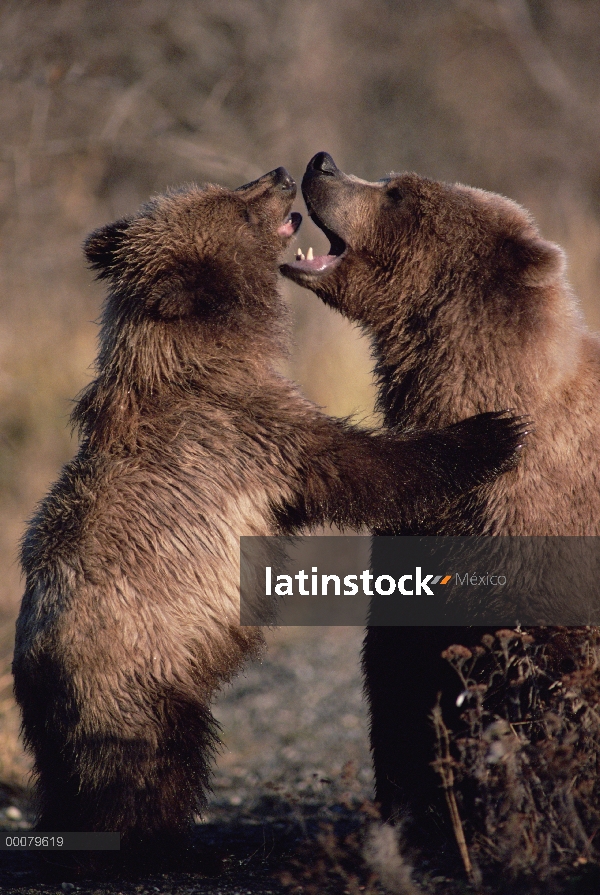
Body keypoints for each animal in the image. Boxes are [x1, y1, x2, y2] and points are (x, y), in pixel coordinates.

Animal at [11, 166, 524, 868]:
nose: (281, 175)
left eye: (226, 187)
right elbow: (366, 468)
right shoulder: (254, 434)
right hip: (137, 677)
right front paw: (492, 430)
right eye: (236, 202)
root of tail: (37, 666)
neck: (201, 350)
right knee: (152, 768)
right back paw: (162, 845)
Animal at [282, 154, 600, 832]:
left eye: (399, 194)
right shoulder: (426, 525)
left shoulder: (535, 538)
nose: (322, 163)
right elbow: (402, 671)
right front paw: (419, 806)